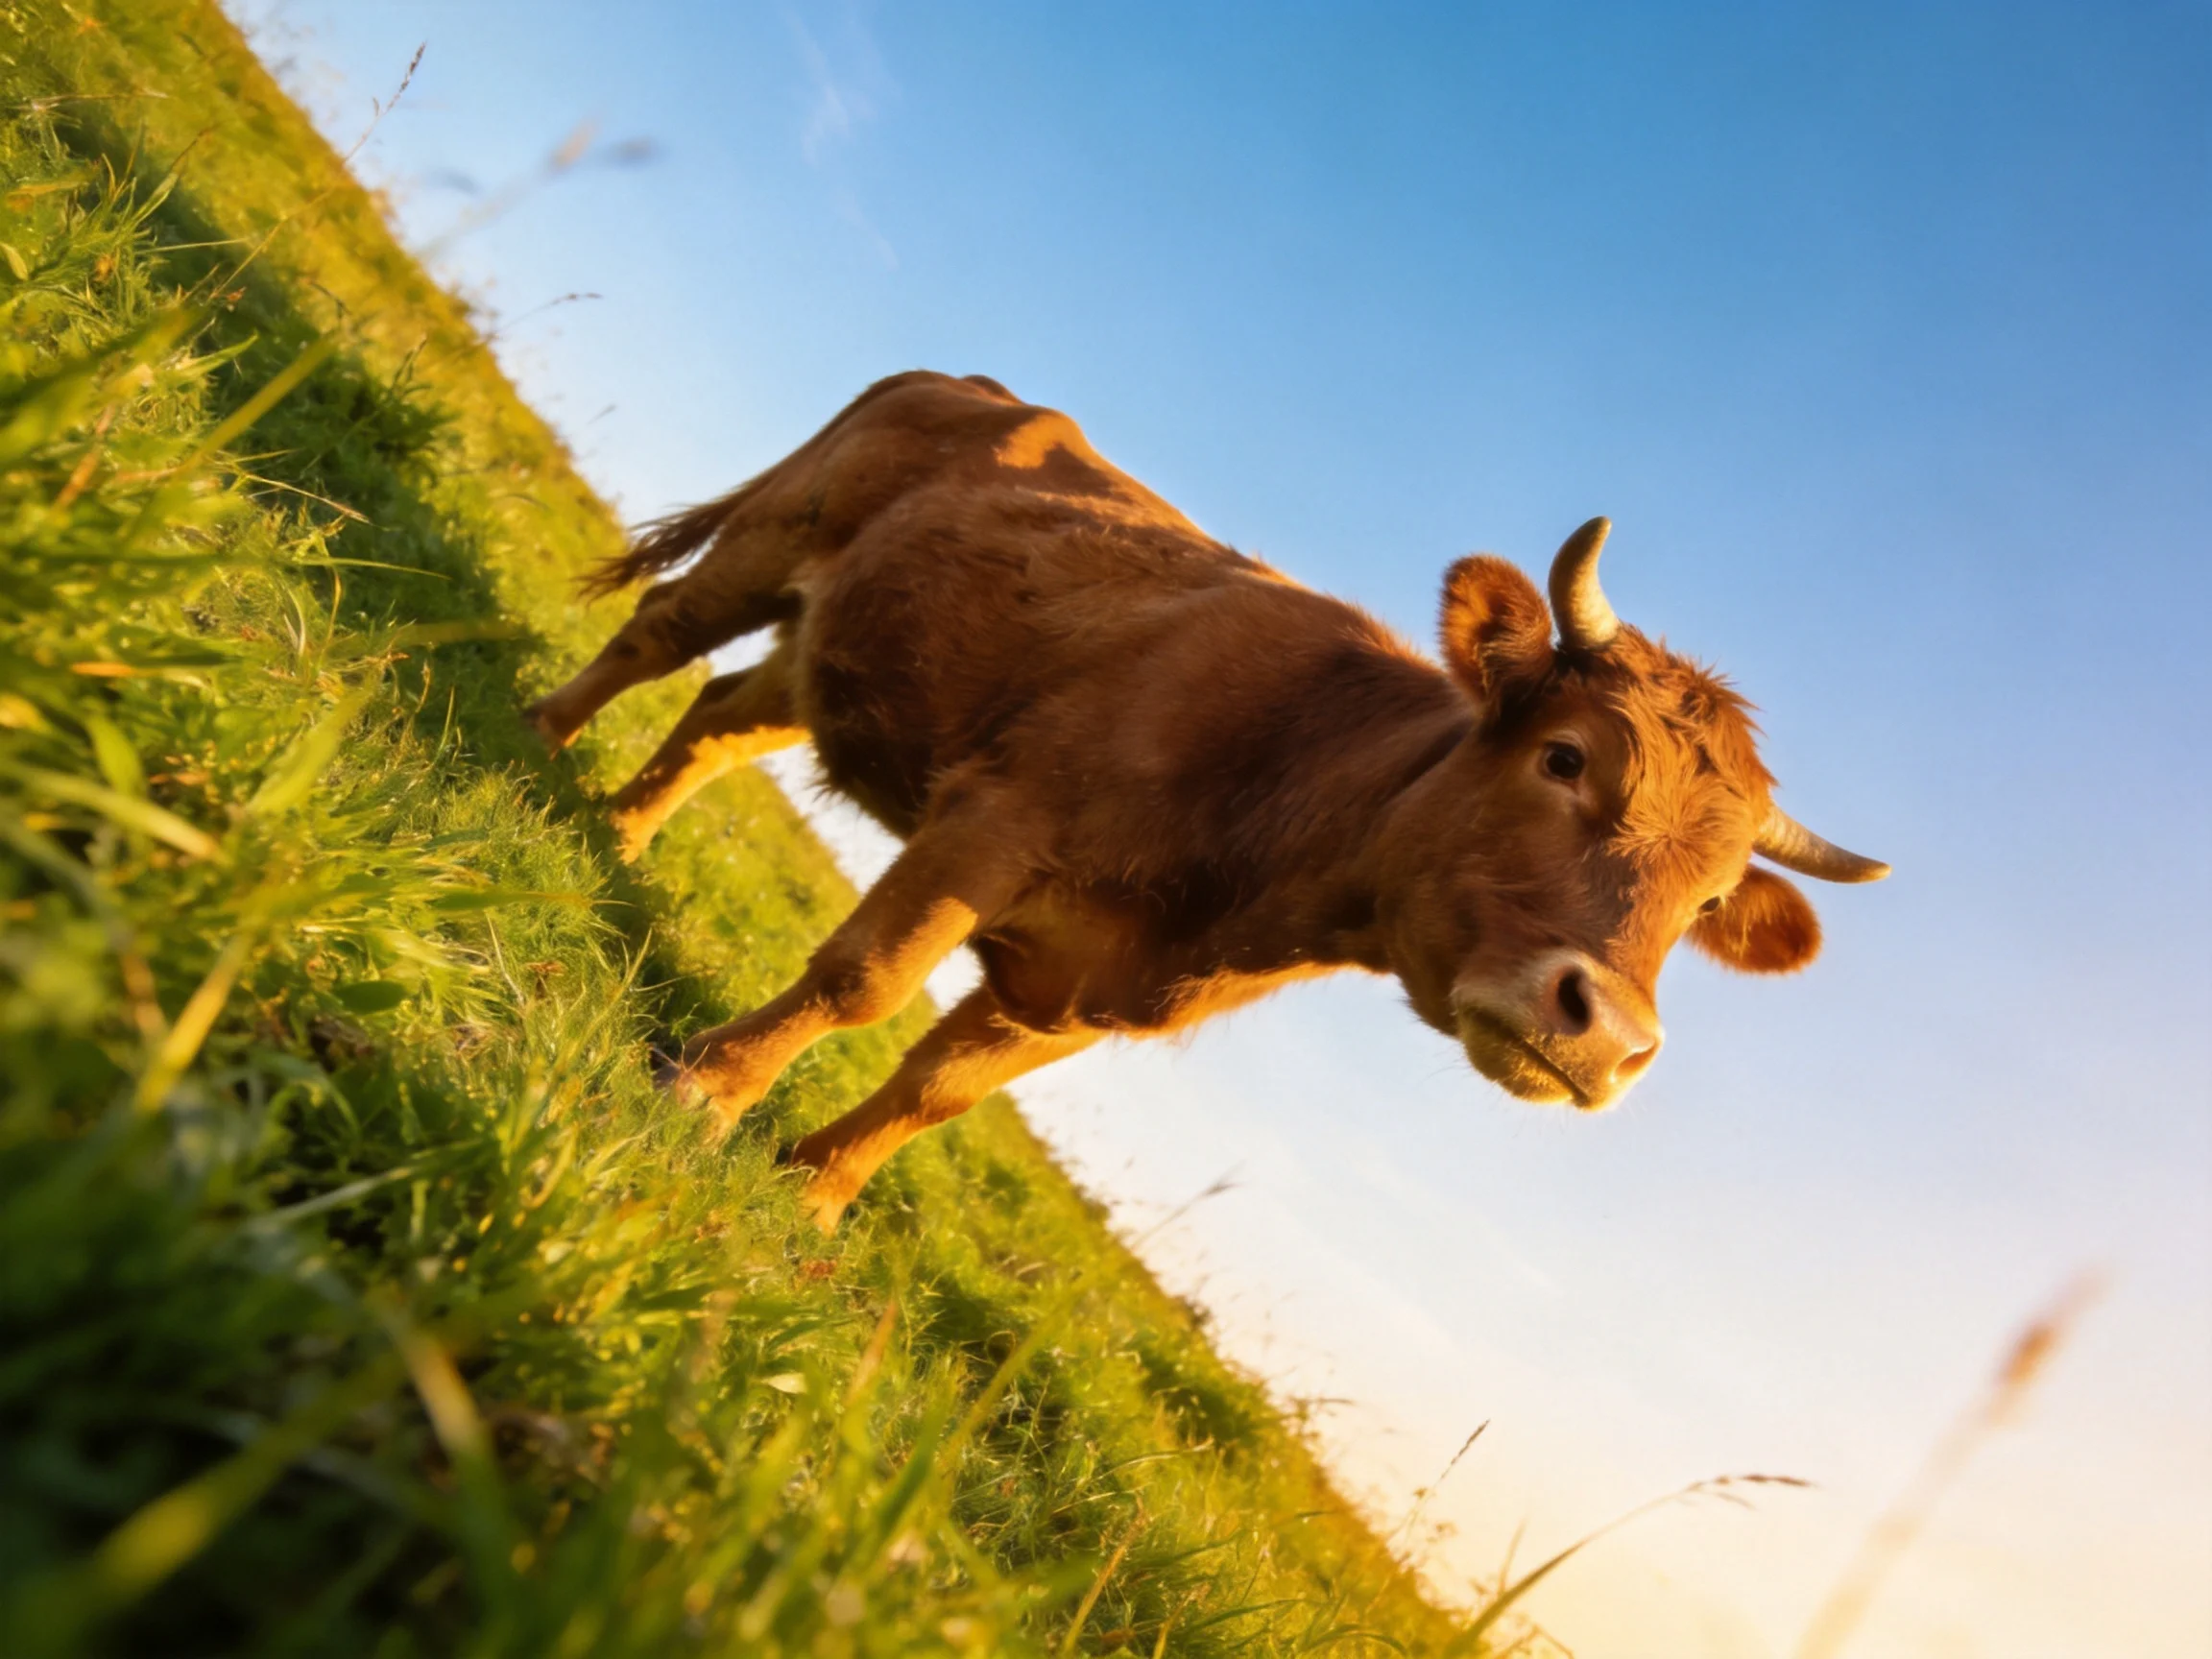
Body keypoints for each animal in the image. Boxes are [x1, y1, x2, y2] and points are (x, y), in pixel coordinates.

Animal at [526, 371, 1887, 1229]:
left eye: (1708, 900)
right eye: (1565, 758)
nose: (1606, 1034)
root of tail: (982, 386)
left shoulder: (1089, 991)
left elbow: (942, 1091)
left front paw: (811, 1195)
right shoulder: (992, 824)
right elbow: (862, 982)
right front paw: (707, 1092)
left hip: (836, 641)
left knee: (723, 716)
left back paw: (616, 831)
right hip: (776, 531)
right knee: (660, 634)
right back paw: (535, 742)